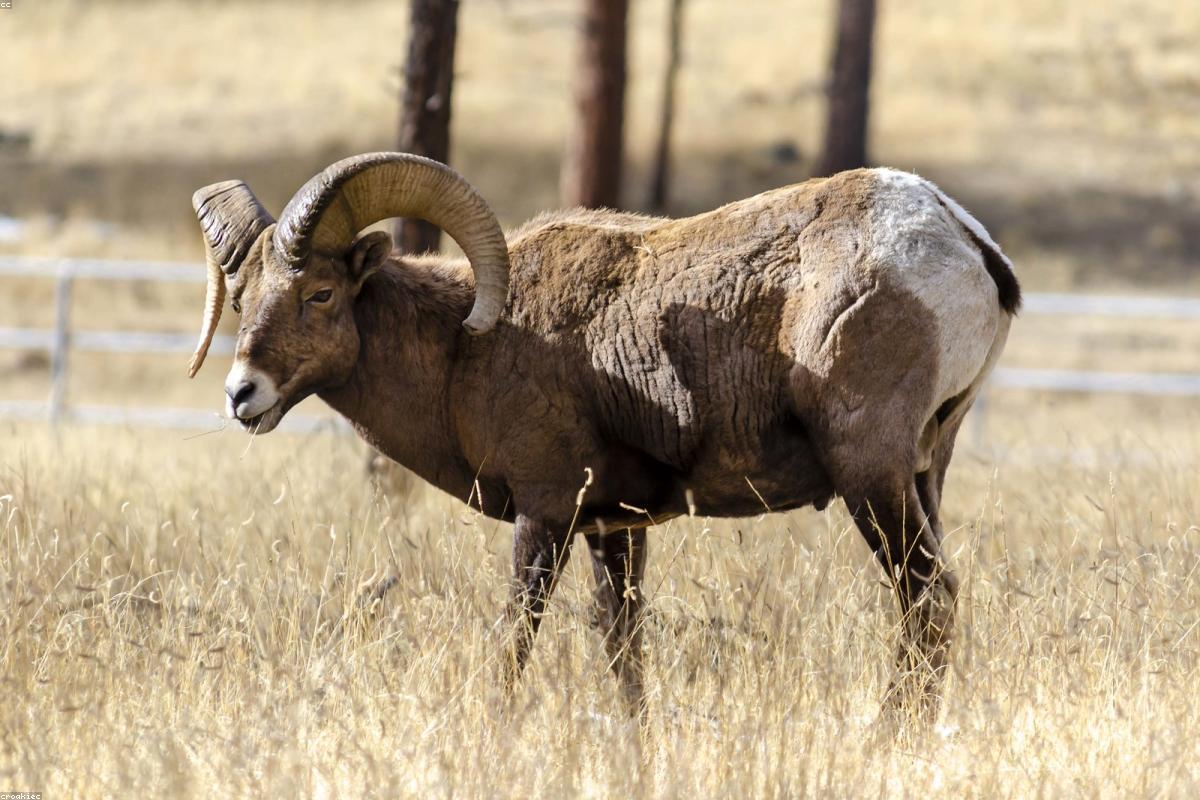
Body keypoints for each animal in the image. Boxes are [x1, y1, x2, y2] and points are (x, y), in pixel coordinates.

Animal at [187, 152, 1020, 720]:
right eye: (244, 299)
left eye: (321, 294)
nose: (241, 395)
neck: (465, 348)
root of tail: (962, 240)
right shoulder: (615, 530)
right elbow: (625, 656)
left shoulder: (547, 512)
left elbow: (516, 642)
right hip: (923, 474)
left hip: (871, 479)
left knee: (926, 600)